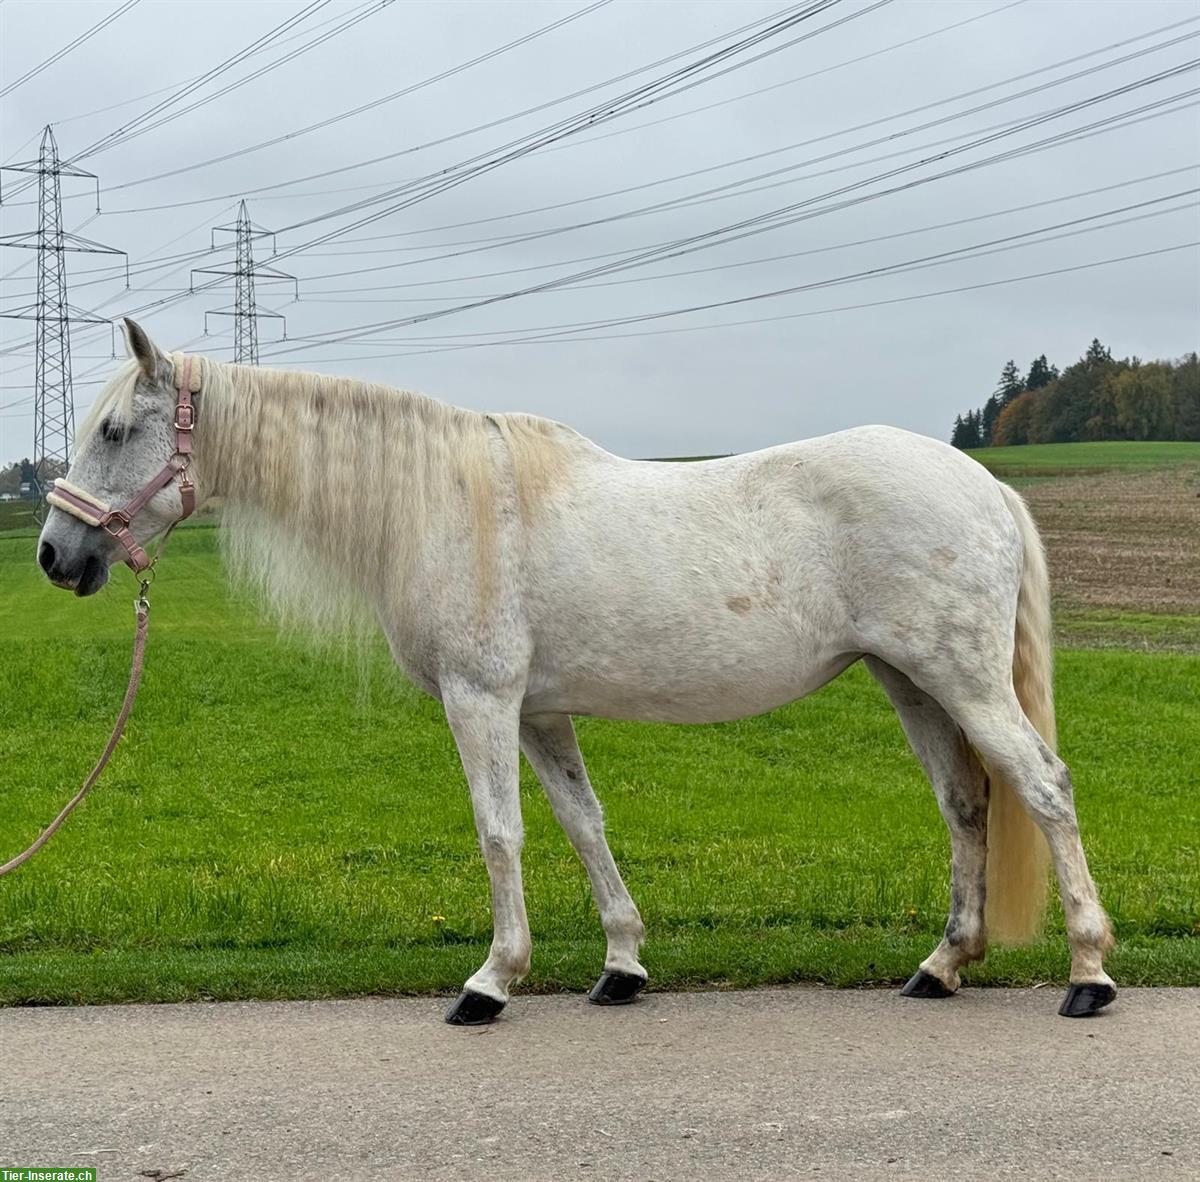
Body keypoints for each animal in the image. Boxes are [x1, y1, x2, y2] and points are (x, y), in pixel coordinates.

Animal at [35, 324, 1113, 1022]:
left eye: (116, 432)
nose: (54, 554)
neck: (441, 503)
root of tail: (985, 485)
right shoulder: (539, 713)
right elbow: (581, 823)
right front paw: (622, 966)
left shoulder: (482, 701)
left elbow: (500, 833)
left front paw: (491, 981)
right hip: (911, 682)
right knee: (966, 805)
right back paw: (942, 965)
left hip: (963, 681)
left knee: (1045, 788)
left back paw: (1088, 973)